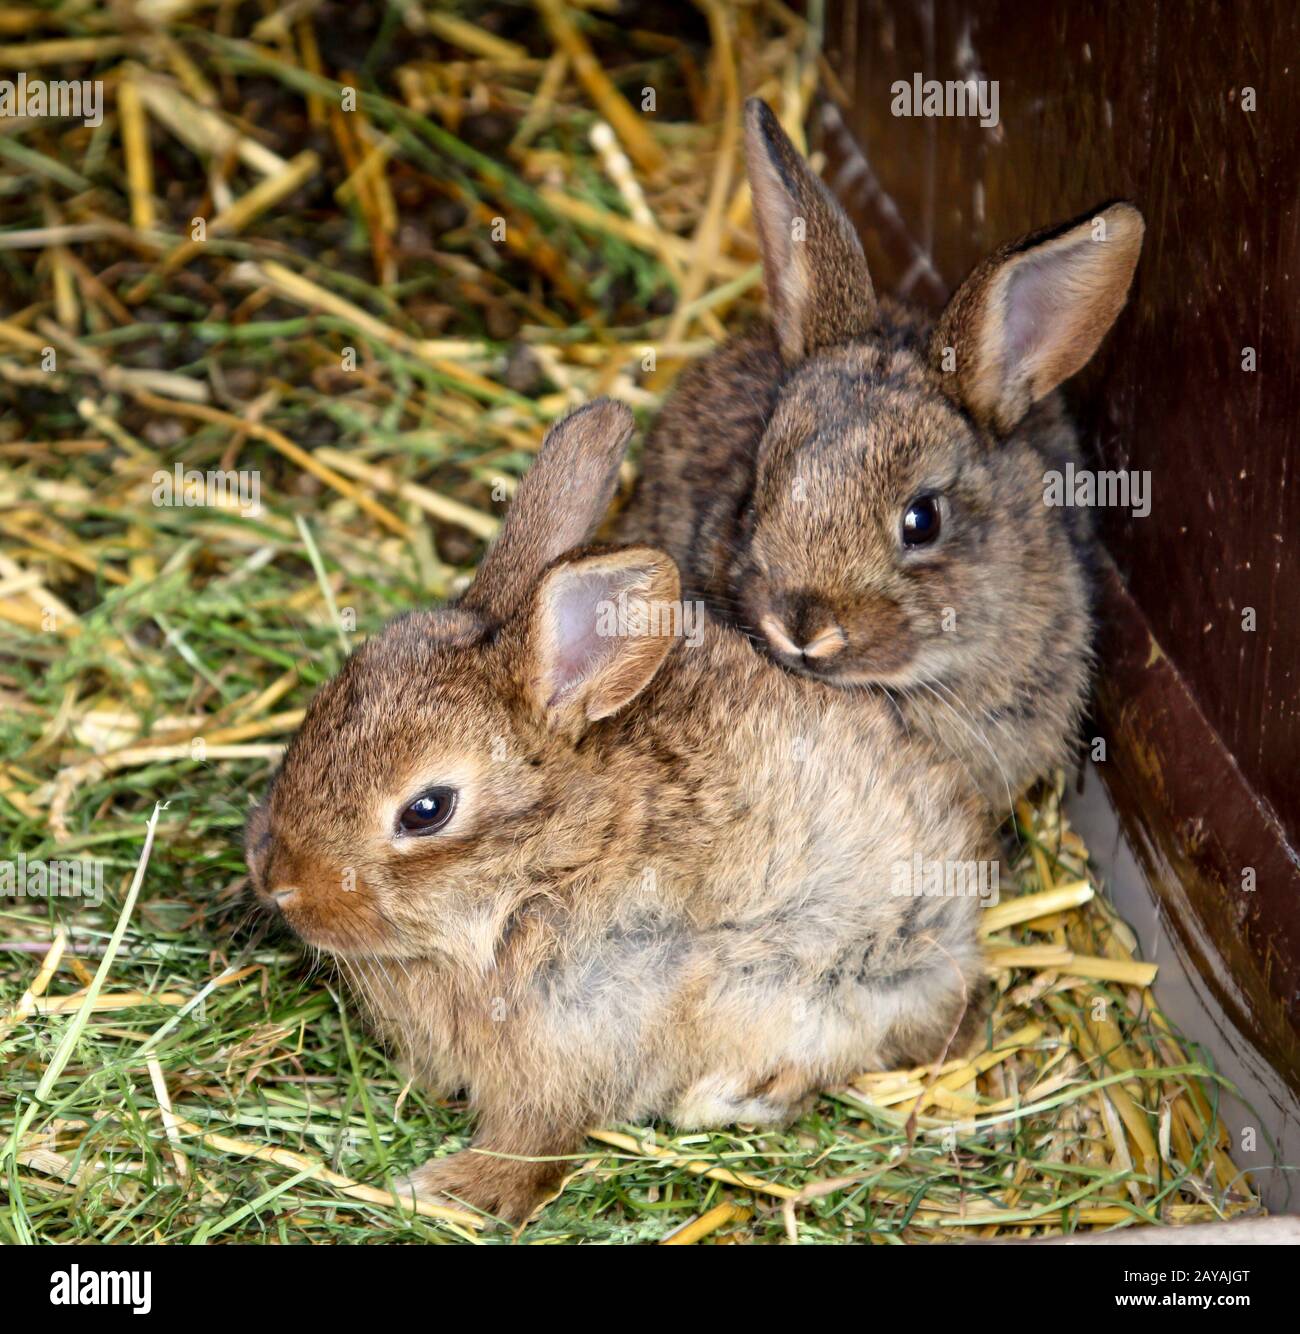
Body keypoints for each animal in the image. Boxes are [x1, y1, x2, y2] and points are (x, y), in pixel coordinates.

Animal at [246, 399, 994, 1224]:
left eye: (427, 811)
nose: (276, 880)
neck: (541, 864)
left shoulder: (579, 1035)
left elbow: (536, 1142)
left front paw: (449, 1189)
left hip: (859, 977)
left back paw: (725, 1097)